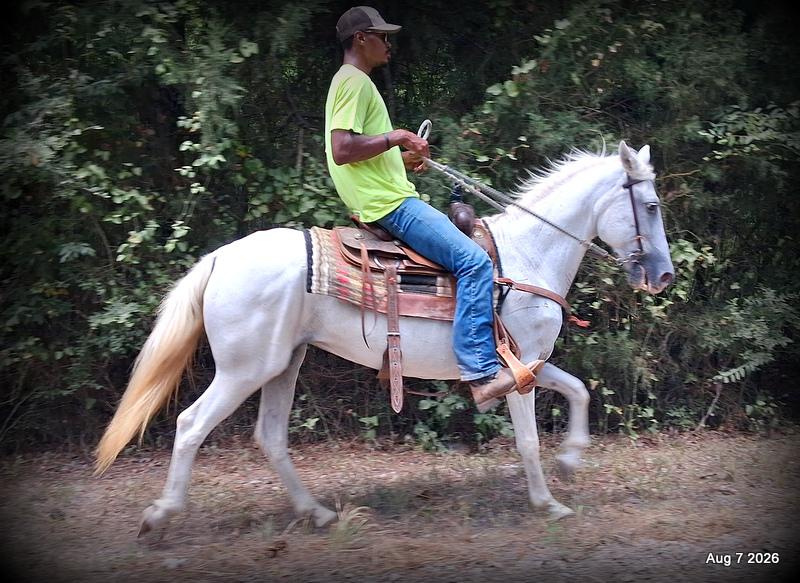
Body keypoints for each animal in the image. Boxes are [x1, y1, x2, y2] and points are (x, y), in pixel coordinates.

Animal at [95, 141, 674, 535]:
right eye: (650, 207)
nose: (664, 276)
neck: (529, 254)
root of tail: (219, 258)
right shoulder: (519, 368)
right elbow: (530, 440)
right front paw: (548, 502)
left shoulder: (529, 362)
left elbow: (579, 389)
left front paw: (571, 459)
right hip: (244, 370)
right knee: (192, 425)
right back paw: (161, 515)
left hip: (284, 363)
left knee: (271, 436)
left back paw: (317, 513)